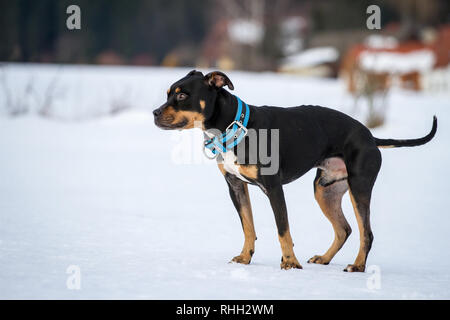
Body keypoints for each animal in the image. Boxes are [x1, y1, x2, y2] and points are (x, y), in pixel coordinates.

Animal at [153, 70, 438, 272]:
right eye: (167, 93)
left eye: (181, 95)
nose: (155, 113)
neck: (235, 126)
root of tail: (369, 136)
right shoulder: (236, 186)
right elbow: (248, 227)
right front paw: (245, 258)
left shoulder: (274, 188)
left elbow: (283, 230)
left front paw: (290, 263)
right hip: (325, 190)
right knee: (344, 229)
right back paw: (324, 258)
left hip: (359, 188)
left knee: (365, 232)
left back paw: (357, 266)